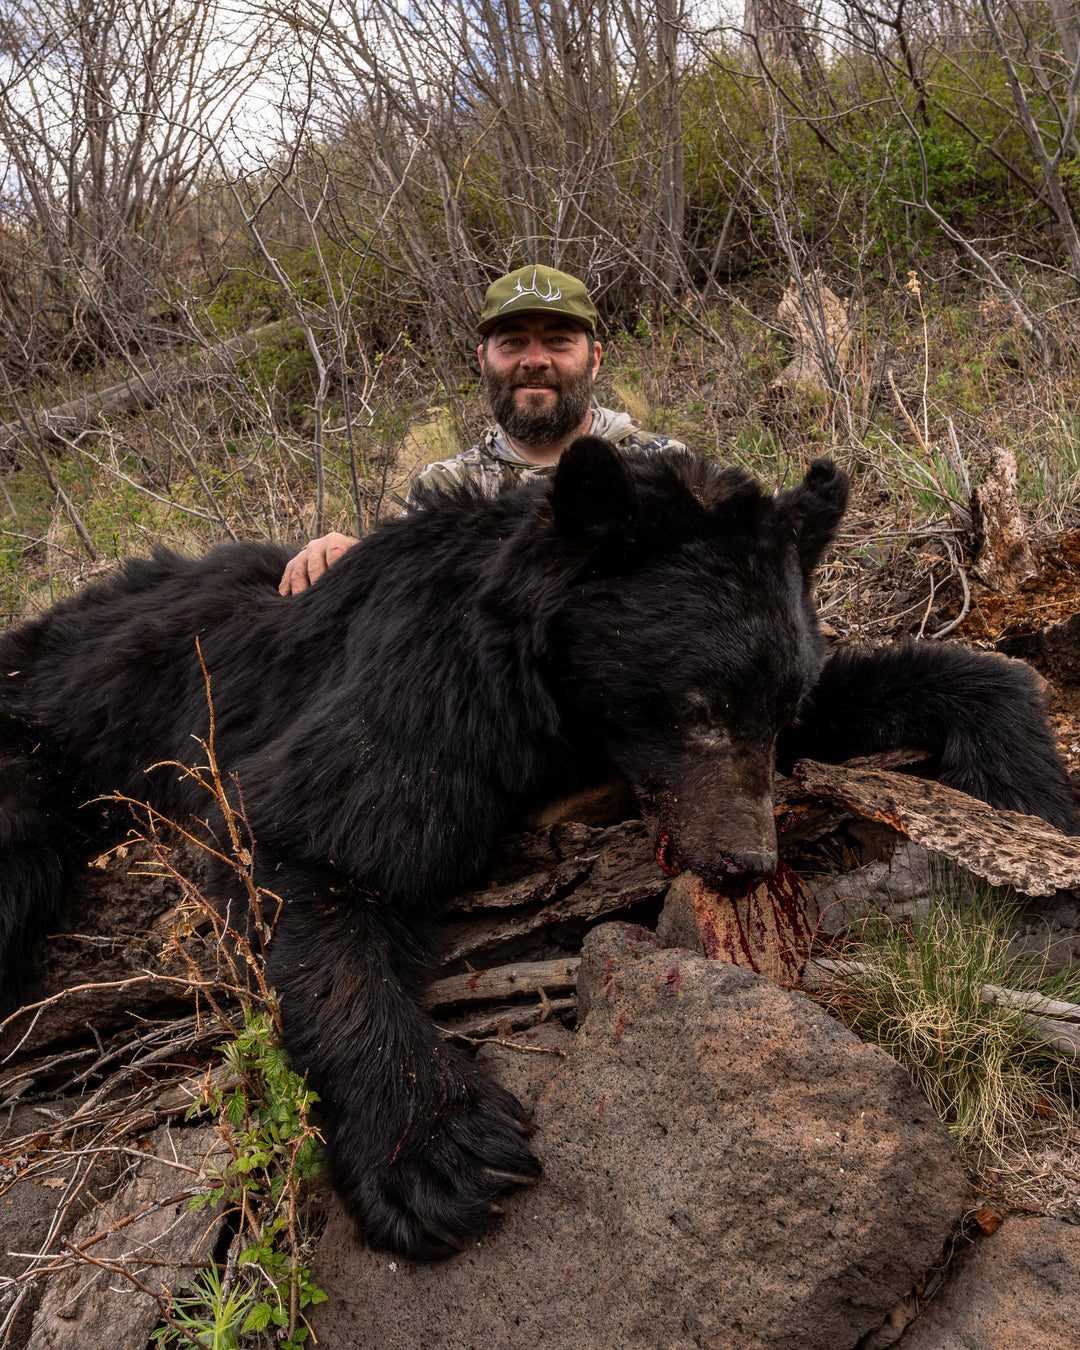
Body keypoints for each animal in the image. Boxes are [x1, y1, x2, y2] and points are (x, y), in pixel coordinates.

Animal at [0, 437, 1075, 1259]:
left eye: (776, 705)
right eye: (695, 704)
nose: (747, 862)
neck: (559, 701)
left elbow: (947, 682)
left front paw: (1037, 797)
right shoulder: (427, 682)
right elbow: (309, 849)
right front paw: (438, 1152)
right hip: (45, 732)